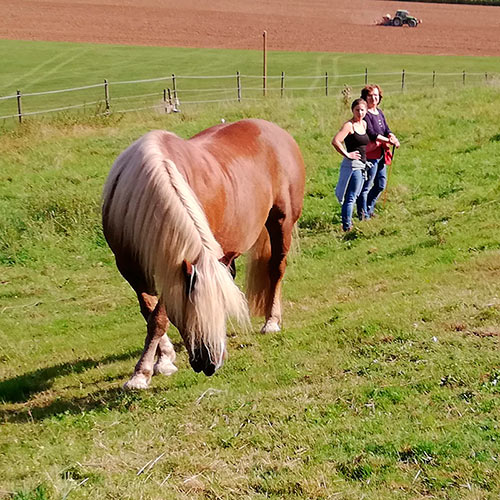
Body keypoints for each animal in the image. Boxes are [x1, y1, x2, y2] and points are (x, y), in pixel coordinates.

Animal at [101, 119, 304, 388]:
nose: (211, 363)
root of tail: (274, 129)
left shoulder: (174, 268)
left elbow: (158, 317)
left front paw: (142, 372)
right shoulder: (131, 268)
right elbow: (150, 314)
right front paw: (159, 362)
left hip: (281, 222)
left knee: (276, 269)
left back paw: (272, 321)